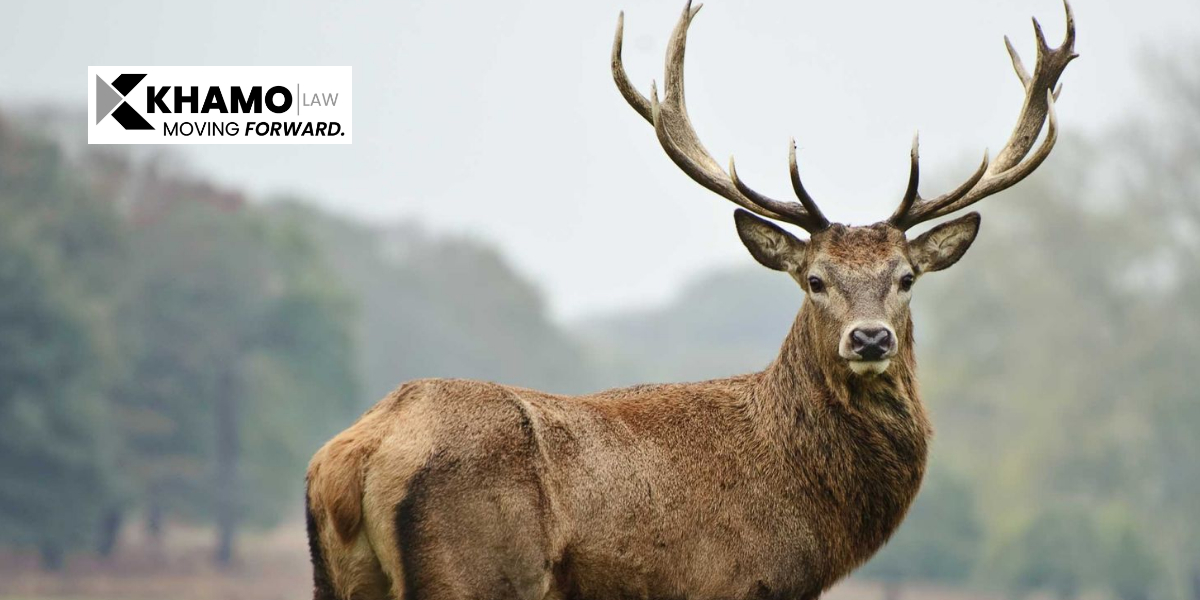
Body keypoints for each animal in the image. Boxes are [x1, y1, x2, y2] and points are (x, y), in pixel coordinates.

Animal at [305, 2, 1077, 599]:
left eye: (906, 277)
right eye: (815, 279)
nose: (869, 339)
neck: (807, 506)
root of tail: (355, 456)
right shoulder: (733, 582)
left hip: (343, 579)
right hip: (474, 570)